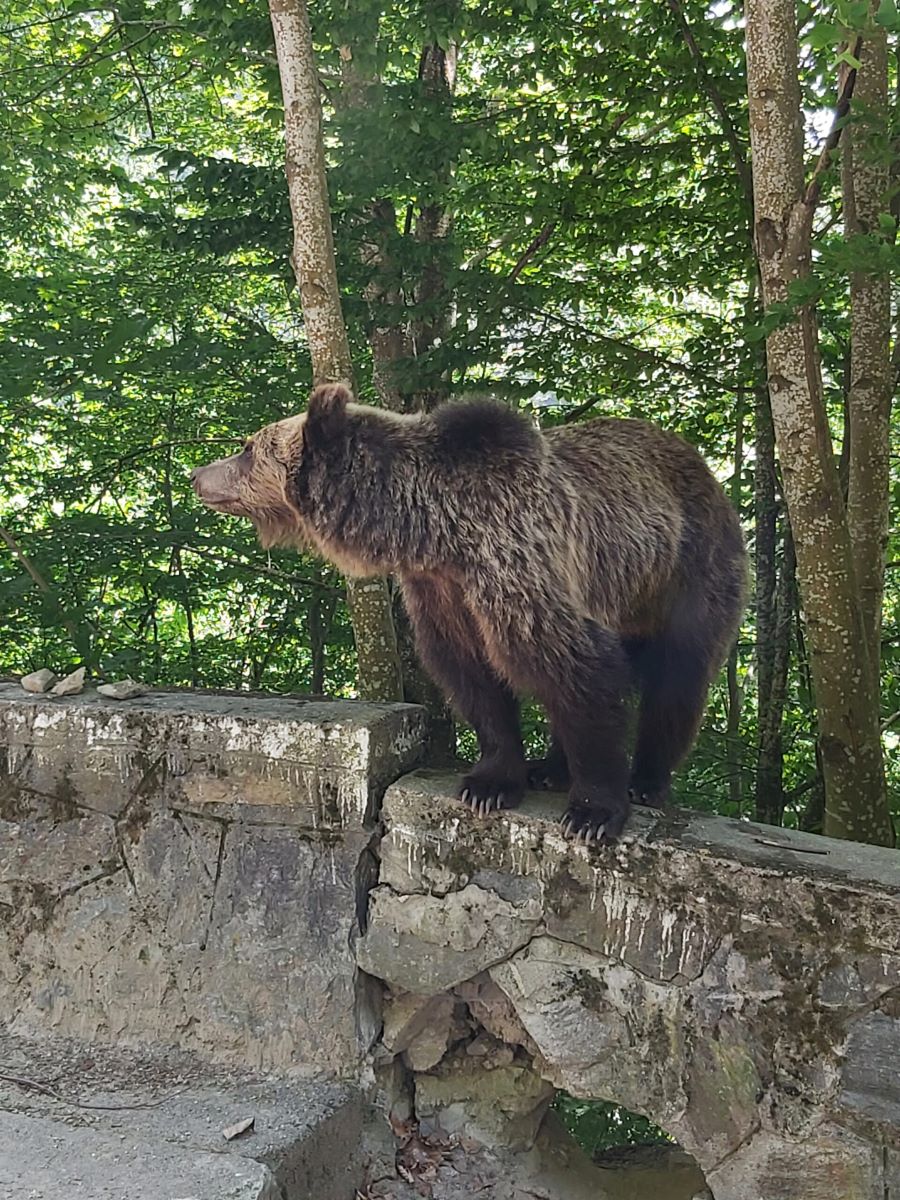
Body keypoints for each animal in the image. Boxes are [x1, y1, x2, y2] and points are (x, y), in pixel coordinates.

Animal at [194, 384, 748, 844]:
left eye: (247, 447)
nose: (197, 473)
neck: (434, 528)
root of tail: (706, 472)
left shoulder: (517, 561)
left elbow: (576, 668)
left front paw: (593, 811)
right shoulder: (440, 592)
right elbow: (471, 677)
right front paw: (490, 783)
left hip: (686, 571)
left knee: (678, 677)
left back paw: (646, 780)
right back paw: (551, 768)